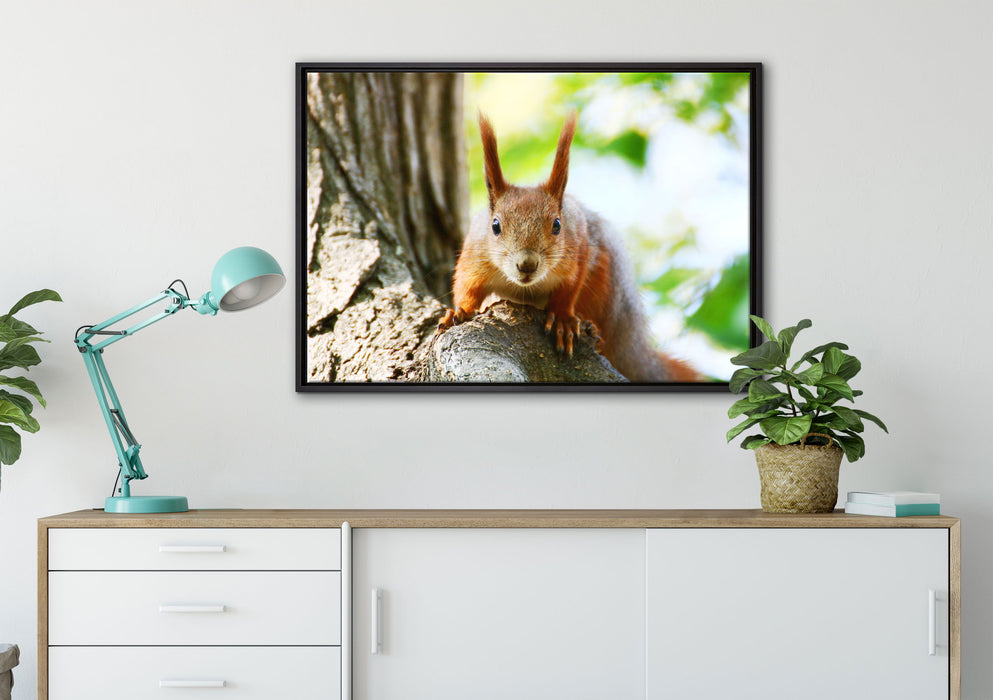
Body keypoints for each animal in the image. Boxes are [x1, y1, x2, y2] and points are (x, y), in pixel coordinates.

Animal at [437, 112, 701, 383]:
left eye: (557, 225)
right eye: (495, 226)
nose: (527, 264)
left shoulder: (578, 250)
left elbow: (568, 289)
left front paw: (563, 320)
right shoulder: (474, 255)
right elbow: (467, 287)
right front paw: (459, 311)